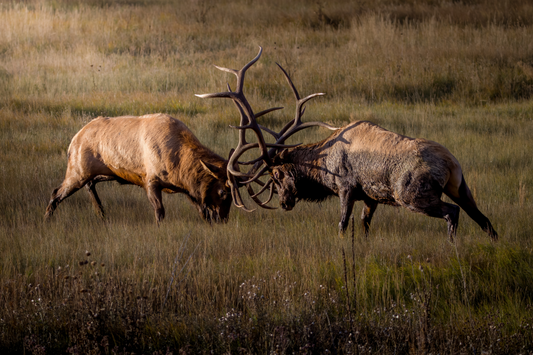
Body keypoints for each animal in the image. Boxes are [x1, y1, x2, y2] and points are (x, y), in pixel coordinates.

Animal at [46, 113, 234, 225]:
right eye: (223, 192)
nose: (223, 219)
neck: (179, 166)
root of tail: (73, 140)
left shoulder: (187, 188)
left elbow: (203, 211)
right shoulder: (150, 180)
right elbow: (159, 212)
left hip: (106, 173)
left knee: (90, 184)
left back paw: (101, 214)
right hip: (77, 171)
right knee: (56, 192)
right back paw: (46, 220)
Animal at [197, 46, 496, 242]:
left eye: (278, 175)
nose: (284, 203)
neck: (323, 162)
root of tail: (451, 163)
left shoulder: (346, 187)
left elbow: (342, 225)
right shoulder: (371, 197)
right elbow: (364, 226)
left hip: (412, 194)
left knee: (453, 213)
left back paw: (452, 245)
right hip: (461, 188)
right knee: (484, 220)